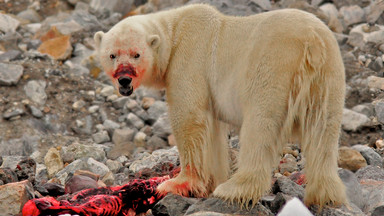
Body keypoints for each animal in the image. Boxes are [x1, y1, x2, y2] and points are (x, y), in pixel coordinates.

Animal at [94, 3, 348, 208]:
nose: (124, 79)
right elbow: (212, 132)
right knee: (324, 131)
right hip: (329, 74)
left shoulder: (189, 58)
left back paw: (234, 189)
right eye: (112, 55)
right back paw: (325, 195)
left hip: (273, 67)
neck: (174, 30)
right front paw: (210, 181)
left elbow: (189, 117)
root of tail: (312, 42)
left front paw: (176, 184)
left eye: (136, 54)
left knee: (260, 126)